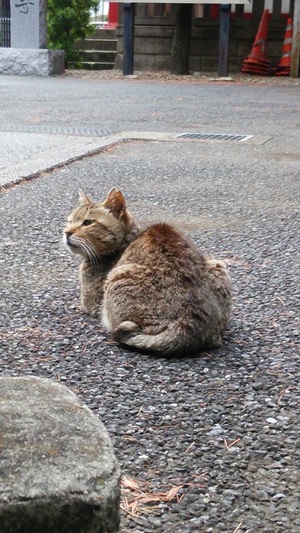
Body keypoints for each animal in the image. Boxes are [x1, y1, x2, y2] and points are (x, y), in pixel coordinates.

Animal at [63, 187, 232, 354]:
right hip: (218, 265)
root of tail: (189, 322)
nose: (66, 232)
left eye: (88, 222)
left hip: (116, 278)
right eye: (69, 221)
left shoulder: (92, 303)